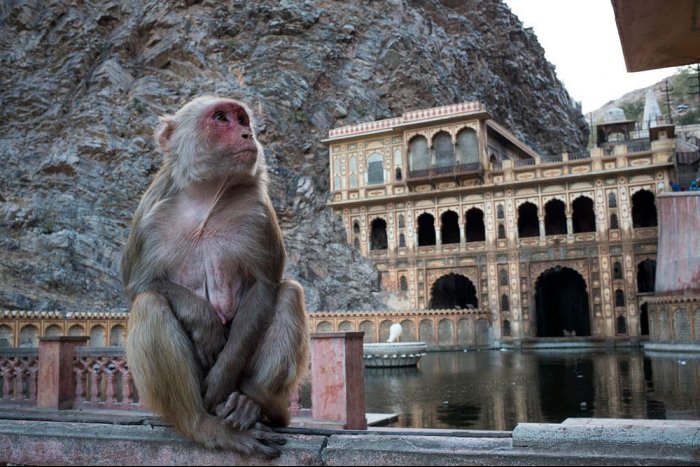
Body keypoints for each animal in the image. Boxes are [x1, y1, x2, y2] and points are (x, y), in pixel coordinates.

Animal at [122, 97, 308, 458]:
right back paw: (203, 425)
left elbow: (264, 285)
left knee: (289, 293)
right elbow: (139, 283)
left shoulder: (258, 215)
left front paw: (223, 374)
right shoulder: (149, 215)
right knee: (150, 304)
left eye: (242, 119)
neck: (207, 198)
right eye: (221, 118)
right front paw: (204, 322)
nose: (247, 134)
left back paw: (247, 405)